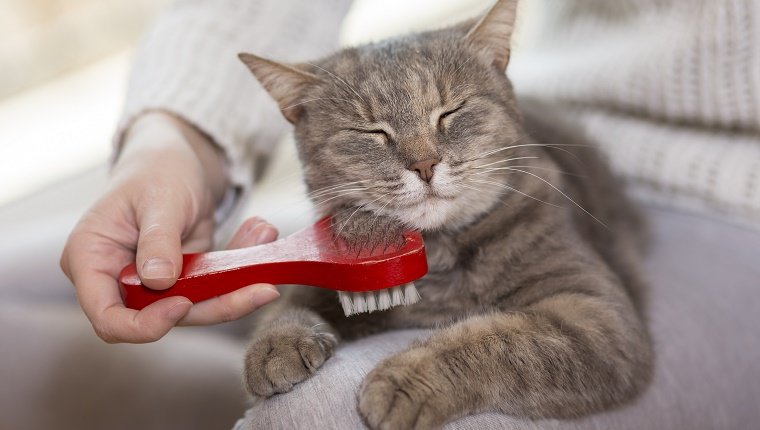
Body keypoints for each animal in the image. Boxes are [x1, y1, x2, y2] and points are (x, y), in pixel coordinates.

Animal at [239, 1, 652, 428]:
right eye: (372, 132)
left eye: (450, 111)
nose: (424, 164)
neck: (435, 256)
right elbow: (295, 296)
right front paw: (275, 341)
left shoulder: (596, 315)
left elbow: (498, 339)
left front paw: (405, 380)